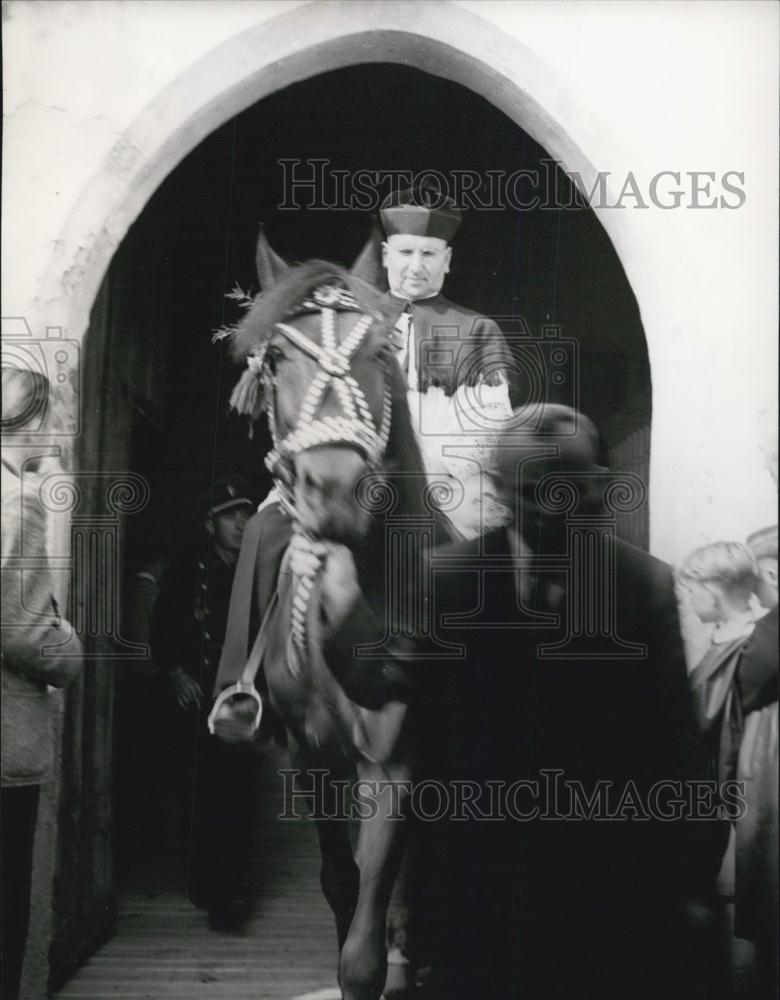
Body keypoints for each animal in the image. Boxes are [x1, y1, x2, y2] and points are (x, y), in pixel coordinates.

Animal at [210, 230, 450, 1000]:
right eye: (278, 361)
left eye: (377, 352)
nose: (338, 492)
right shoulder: (312, 755)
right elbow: (343, 885)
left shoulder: (397, 760)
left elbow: (368, 940)